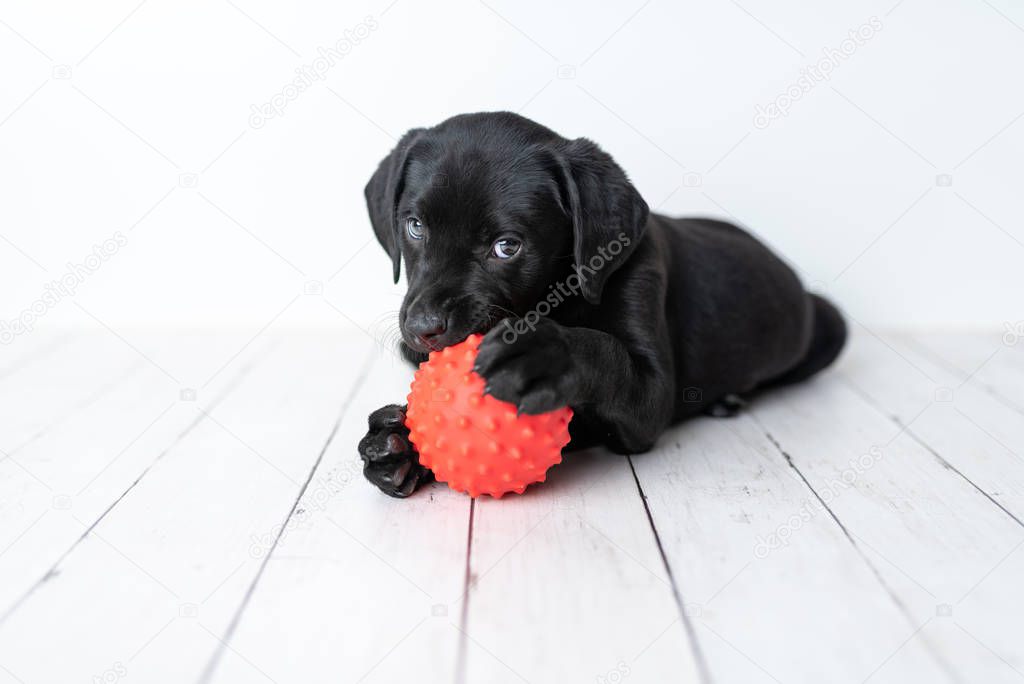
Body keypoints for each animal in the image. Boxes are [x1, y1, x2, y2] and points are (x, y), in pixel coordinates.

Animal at [356, 113, 843, 497]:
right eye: (415, 226)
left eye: (507, 246)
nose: (423, 328)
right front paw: (398, 445)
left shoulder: (650, 394)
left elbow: (608, 356)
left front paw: (542, 356)